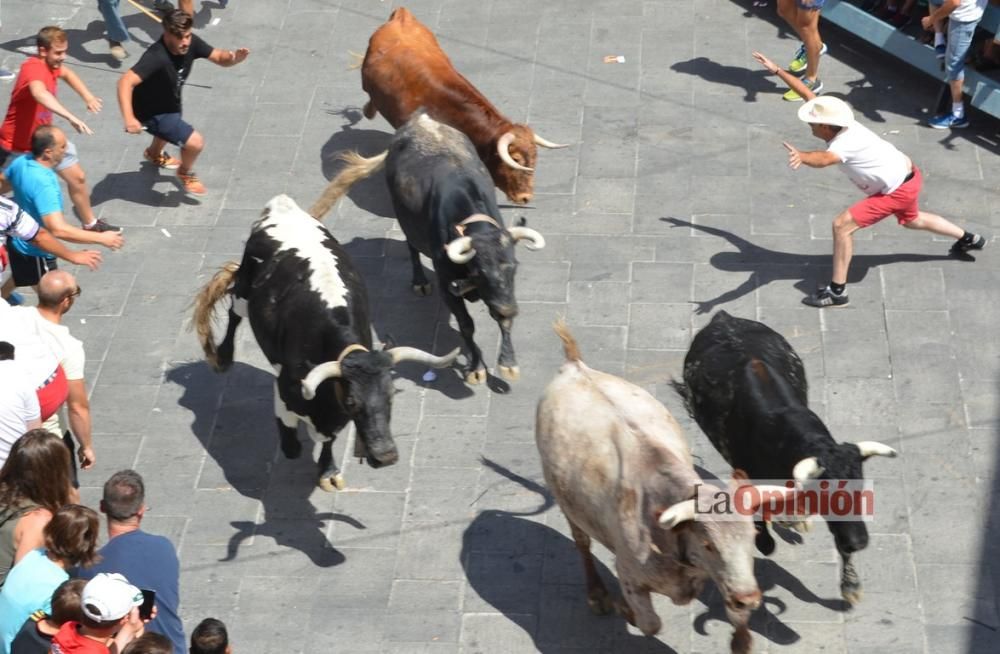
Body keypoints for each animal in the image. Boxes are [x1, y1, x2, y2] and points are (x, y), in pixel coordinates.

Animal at [193, 195, 458, 492]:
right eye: (353, 402)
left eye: (390, 396)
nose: (386, 456)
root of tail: (282, 206)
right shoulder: (287, 389)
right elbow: (291, 444)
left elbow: (329, 439)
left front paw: (328, 470)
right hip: (244, 291)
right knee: (234, 314)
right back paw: (223, 357)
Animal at [312, 112, 548, 386]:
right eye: (479, 272)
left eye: (513, 267)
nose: (509, 309)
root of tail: (420, 121)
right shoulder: (449, 287)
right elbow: (466, 325)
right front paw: (476, 367)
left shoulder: (502, 293)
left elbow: (503, 323)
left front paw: (508, 363)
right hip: (405, 218)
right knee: (412, 246)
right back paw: (420, 281)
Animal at [536, 322, 792, 654]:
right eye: (708, 544)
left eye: (752, 536)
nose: (748, 598)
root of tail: (574, 366)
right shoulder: (629, 575)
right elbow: (649, 623)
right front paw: (625, 611)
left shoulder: (730, 579)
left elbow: (739, 630)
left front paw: (741, 637)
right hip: (567, 504)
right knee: (582, 544)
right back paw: (597, 594)